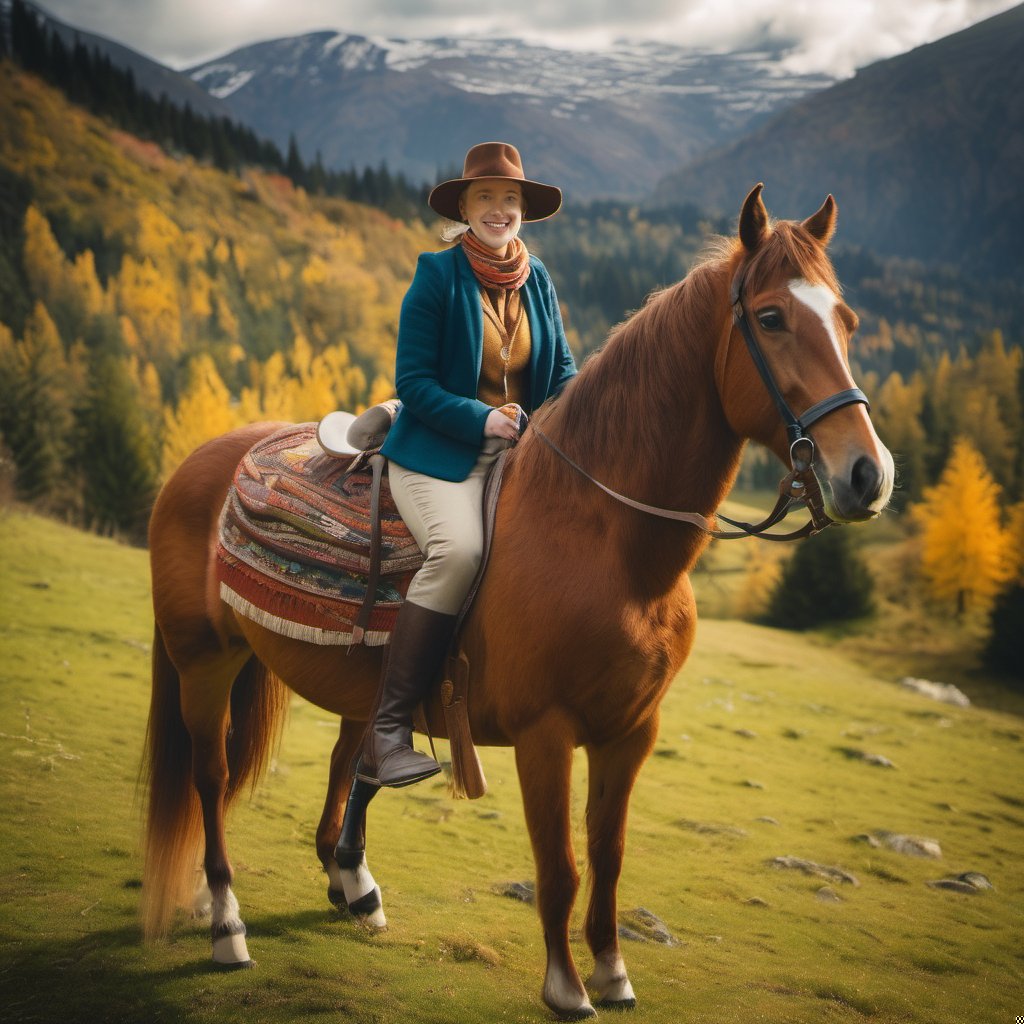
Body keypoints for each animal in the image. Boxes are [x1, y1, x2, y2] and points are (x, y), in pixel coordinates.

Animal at [140, 188, 892, 1019]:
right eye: (771, 317)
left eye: (846, 320)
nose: (869, 474)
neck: (605, 539)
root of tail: (201, 460)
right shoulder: (546, 734)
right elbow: (559, 864)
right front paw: (566, 985)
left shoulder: (632, 733)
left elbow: (609, 854)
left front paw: (612, 970)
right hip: (203, 664)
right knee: (210, 779)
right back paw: (227, 925)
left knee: (350, 761)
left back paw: (348, 885)